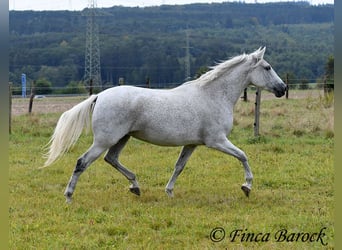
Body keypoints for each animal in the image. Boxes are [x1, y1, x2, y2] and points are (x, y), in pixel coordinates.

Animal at [44, 47, 286, 203]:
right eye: (267, 67)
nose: (282, 89)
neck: (214, 95)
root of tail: (99, 96)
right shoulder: (216, 141)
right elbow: (243, 155)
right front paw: (247, 187)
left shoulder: (192, 144)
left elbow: (179, 166)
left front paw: (169, 192)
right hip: (105, 140)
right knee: (82, 162)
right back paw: (69, 196)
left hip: (122, 138)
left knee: (111, 159)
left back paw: (136, 187)